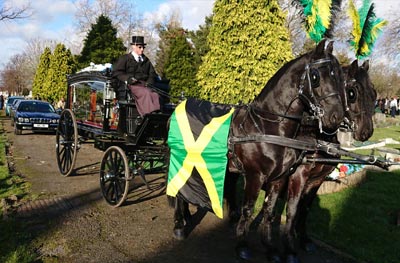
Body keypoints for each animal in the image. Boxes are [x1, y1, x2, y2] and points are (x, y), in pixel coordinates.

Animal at [167, 40, 346, 260]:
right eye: (316, 76)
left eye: (339, 77)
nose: (336, 117)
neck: (268, 127)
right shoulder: (255, 175)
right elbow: (249, 209)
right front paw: (242, 245)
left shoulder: (279, 178)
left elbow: (269, 212)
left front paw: (270, 247)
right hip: (179, 157)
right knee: (176, 188)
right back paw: (179, 226)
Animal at [280, 59, 376, 262]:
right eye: (352, 93)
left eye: (374, 93)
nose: (366, 131)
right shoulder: (298, 177)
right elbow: (293, 208)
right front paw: (289, 247)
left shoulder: (317, 180)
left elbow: (305, 208)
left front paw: (304, 239)